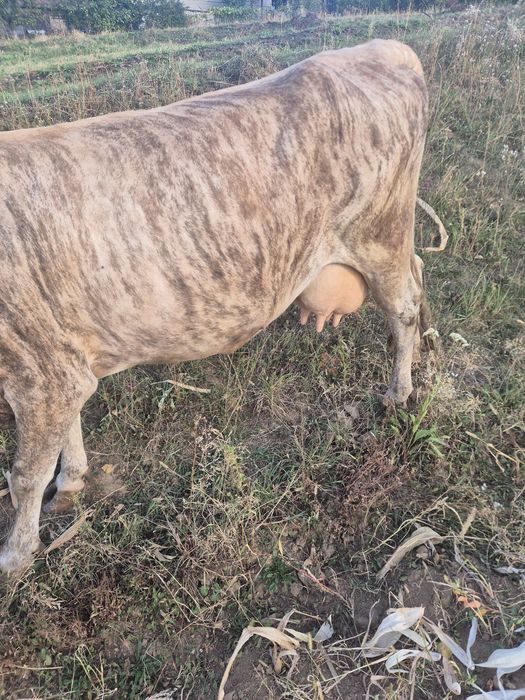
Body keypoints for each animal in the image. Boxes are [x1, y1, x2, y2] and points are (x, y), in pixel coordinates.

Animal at [0, 39, 430, 575]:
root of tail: (382, 48)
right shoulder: (61, 361)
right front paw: (71, 483)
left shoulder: (38, 372)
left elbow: (25, 474)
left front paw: (14, 557)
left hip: (381, 234)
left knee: (405, 307)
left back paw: (399, 392)